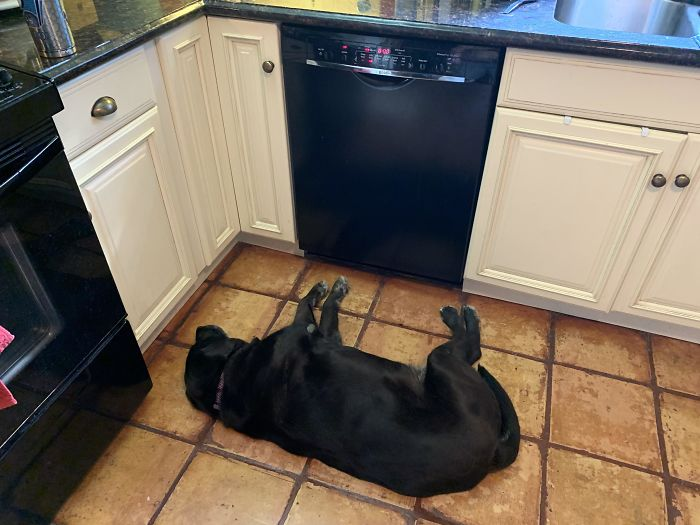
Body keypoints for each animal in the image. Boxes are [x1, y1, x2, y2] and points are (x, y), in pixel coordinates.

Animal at [186, 276, 520, 494]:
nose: (202, 327)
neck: (226, 379)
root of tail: (493, 450)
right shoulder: (313, 332)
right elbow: (310, 306)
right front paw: (327, 290)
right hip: (442, 361)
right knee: (472, 351)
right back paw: (457, 315)